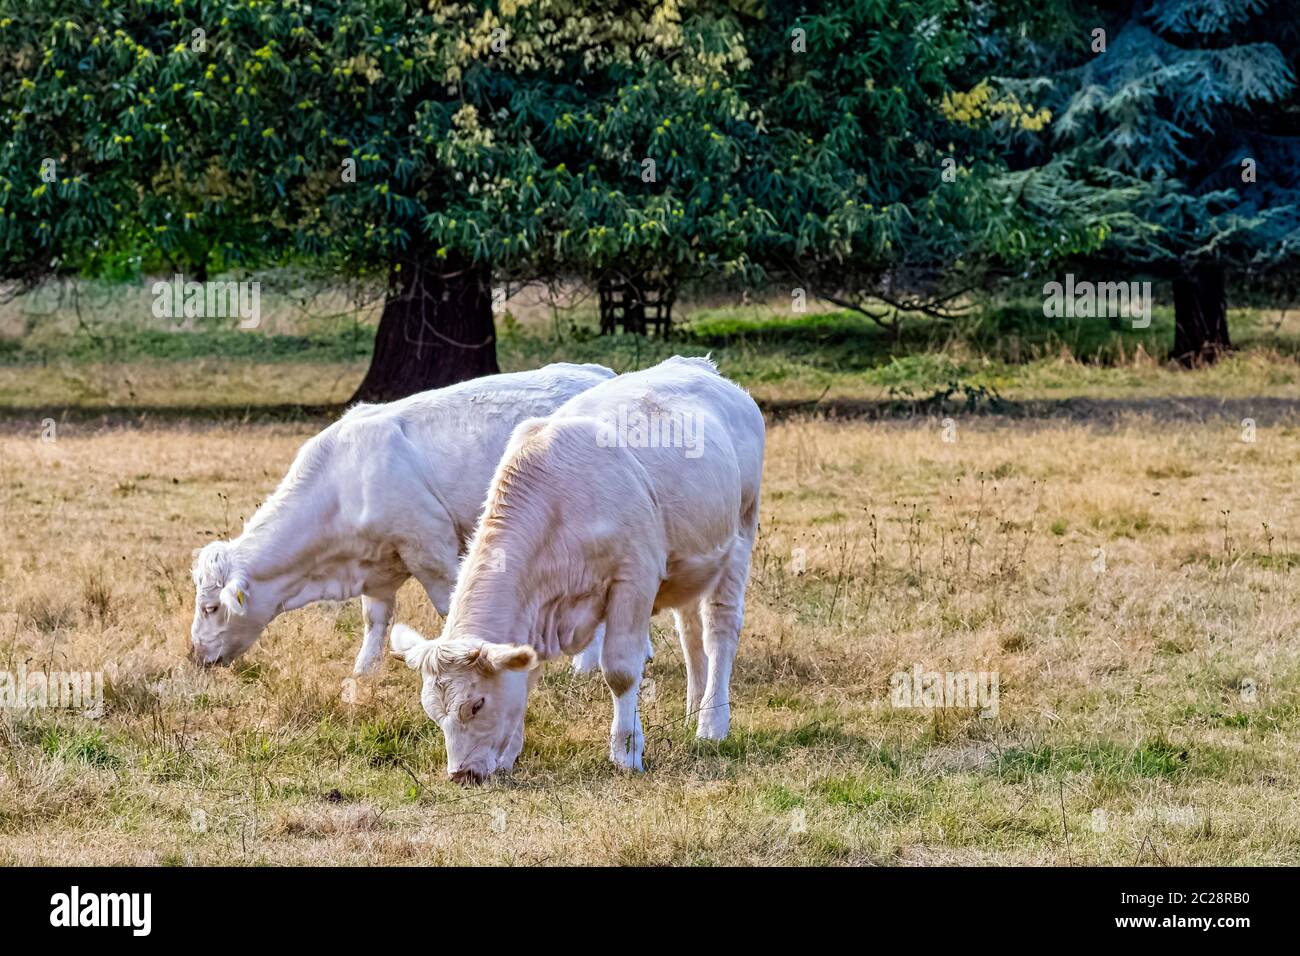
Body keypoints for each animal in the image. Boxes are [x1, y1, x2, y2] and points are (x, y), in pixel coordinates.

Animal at [189, 361, 616, 671]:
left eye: (211, 608)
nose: (195, 655)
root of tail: (599, 374)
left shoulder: (430, 548)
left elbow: (450, 607)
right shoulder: (376, 569)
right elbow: (375, 621)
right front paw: (362, 675)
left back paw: (585, 666)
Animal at [390, 356, 764, 780]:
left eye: (476, 704)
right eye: (432, 713)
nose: (461, 774)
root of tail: (702, 368)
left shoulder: (634, 579)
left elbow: (620, 670)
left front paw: (626, 753)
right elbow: (527, 676)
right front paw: (508, 755)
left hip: (740, 537)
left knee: (720, 630)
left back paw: (712, 724)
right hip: (692, 561)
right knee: (691, 635)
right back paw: (693, 712)